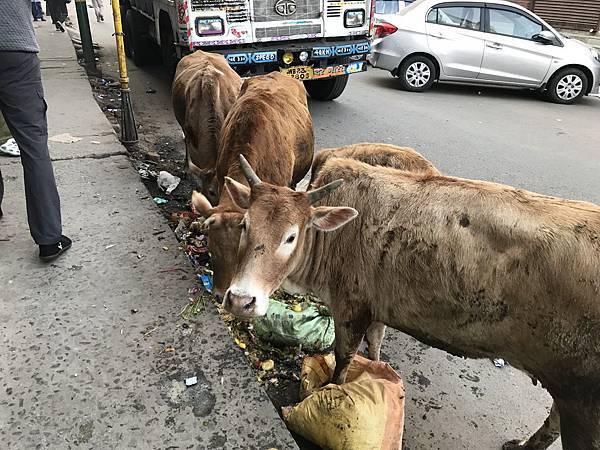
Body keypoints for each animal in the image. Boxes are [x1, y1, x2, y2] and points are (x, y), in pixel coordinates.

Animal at [223, 155, 600, 450]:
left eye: (291, 236)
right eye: (244, 225)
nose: (241, 300)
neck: (334, 236)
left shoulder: (350, 305)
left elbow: (343, 358)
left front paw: (331, 390)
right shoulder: (376, 305)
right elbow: (375, 344)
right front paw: (377, 372)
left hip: (583, 399)